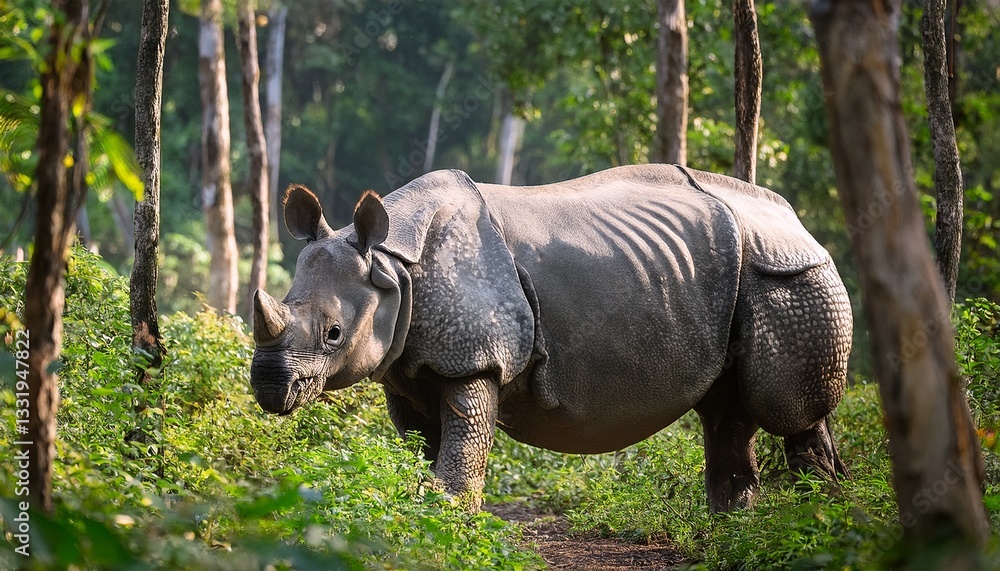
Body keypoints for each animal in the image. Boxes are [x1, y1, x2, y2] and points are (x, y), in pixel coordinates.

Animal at [250, 164, 852, 512]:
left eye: (333, 334)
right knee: (727, 410)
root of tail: (797, 222)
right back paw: (736, 525)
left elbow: (462, 446)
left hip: (788, 275)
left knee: (787, 409)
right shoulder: (405, 369)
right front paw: (422, 514)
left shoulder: (476, 358)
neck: (391, 267)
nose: (269, 387)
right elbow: (423, 447)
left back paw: (818, 519)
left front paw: (448, 519)